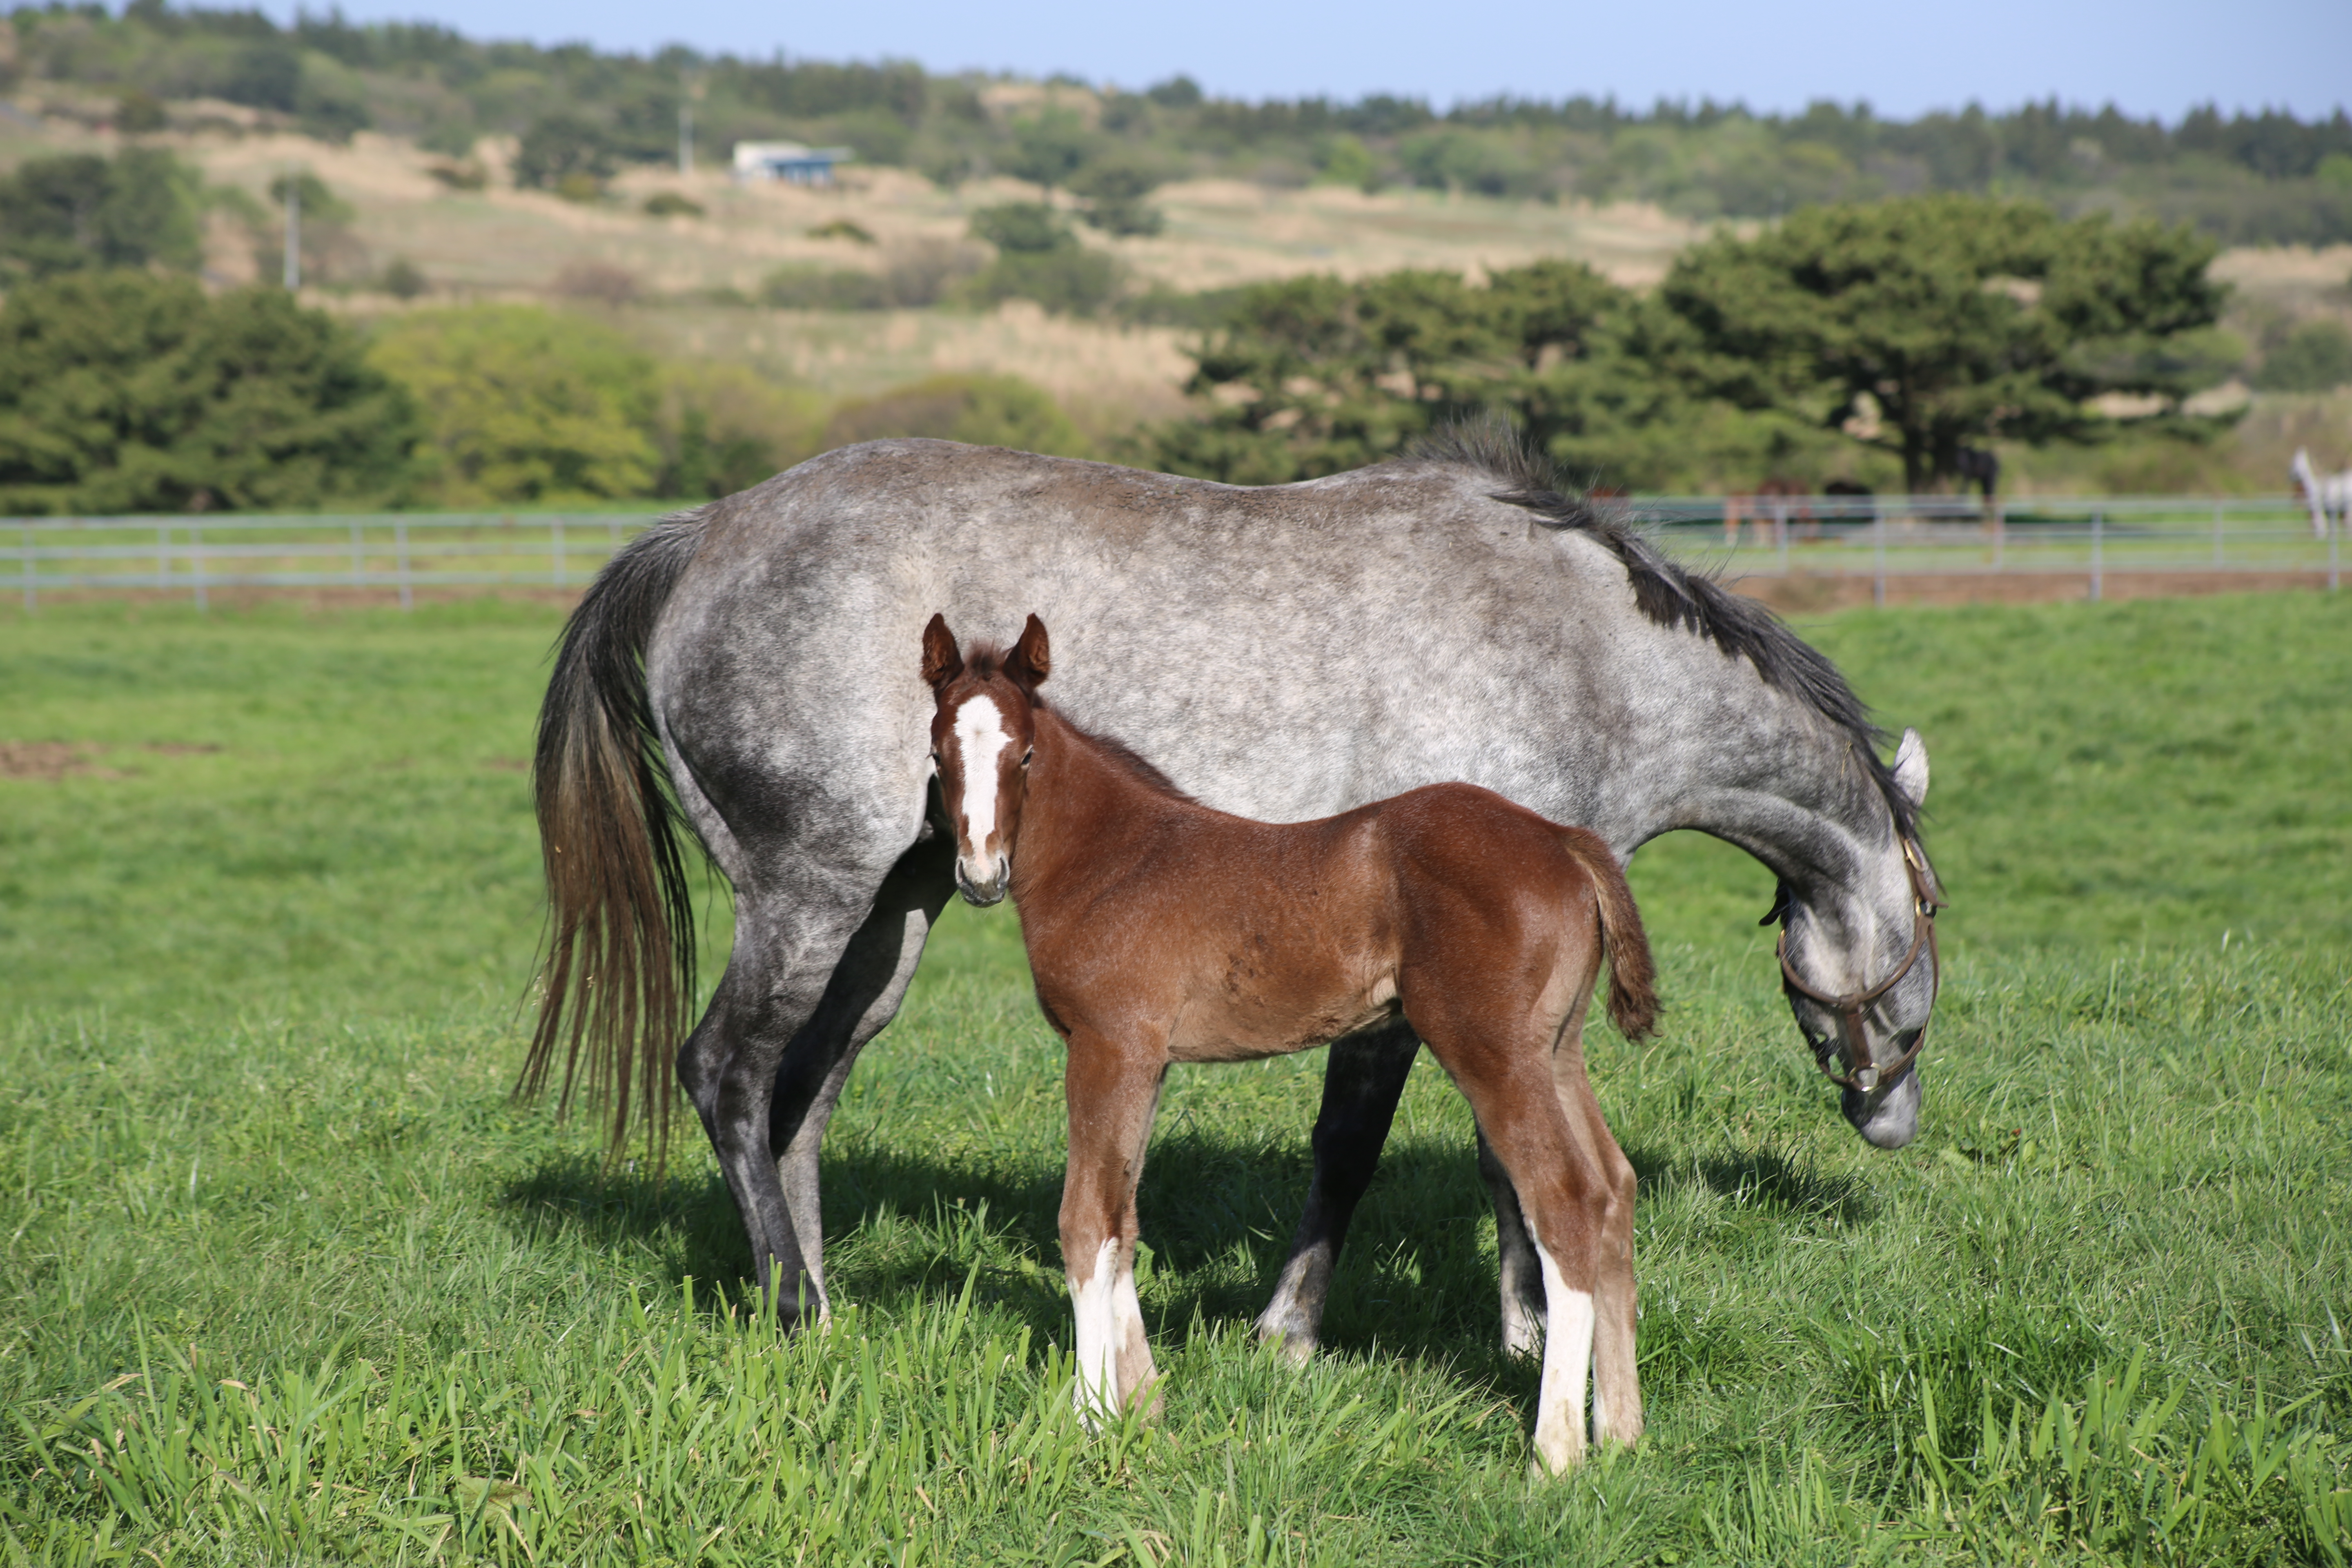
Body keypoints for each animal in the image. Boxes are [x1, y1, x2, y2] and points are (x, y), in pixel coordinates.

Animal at [529, 423, 1947, 1354]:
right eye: (1934, 931)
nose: (1895, 1117)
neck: (1584, 652)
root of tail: (705, 534)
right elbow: (1379, 1149)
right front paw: (1338, 1328)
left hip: (894, 915)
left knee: (803, 1093)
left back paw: (822, 1306)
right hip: (809, 898)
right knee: (726, 1072)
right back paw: (785, 1305)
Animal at [912, 611, 1656, 1476]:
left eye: (1024, 755)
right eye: (938, 754)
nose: (981, 874)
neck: (1112, 860)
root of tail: (1564, 838)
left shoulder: (1108, 1047)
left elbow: (1085, 1222)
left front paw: (1091, 1419)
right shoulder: (1148, 1062)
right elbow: (1124, 1220)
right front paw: (1146, 1408)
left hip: (1495, 1053)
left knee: (1566, 1202)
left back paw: (1555, 1455)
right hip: (1557, 1051)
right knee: (1615, 1188)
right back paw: (1623, 1435)